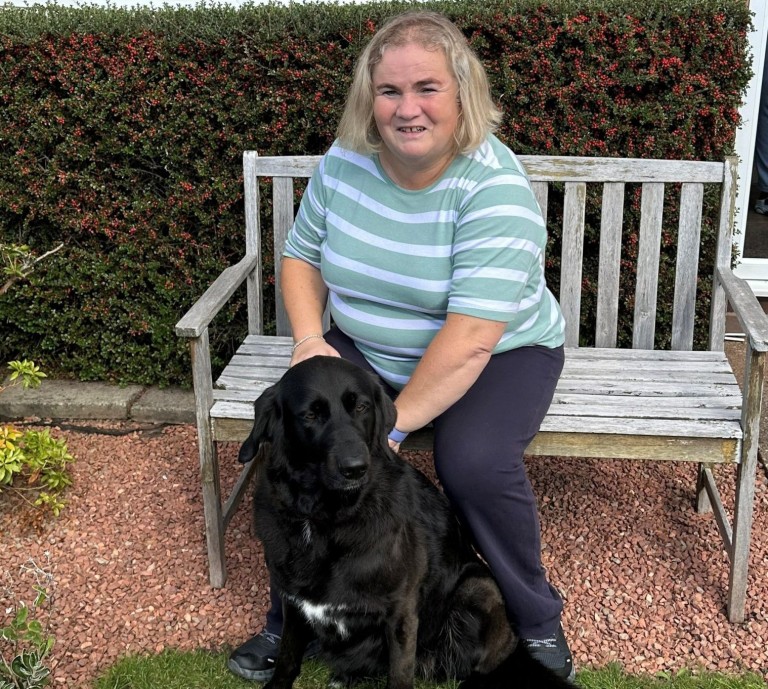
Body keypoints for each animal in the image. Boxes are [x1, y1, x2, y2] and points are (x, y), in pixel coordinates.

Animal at [240, 354, 576, 688]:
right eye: (310, 415)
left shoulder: (400, 612)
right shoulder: (294, 602)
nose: (355, 468)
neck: (326, 519)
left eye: (361, 407)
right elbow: (286, 658)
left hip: (478, 589)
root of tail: (512, 646)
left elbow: (399, 674)